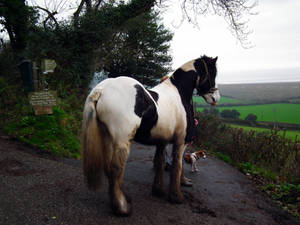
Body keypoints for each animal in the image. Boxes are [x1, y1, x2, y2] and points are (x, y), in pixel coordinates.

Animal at [82, 55, 220, 216]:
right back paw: (122, 208)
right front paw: (176, 197)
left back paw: (123, 199)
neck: (179, 94)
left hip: (107, 137)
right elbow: (177, 166)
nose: (216, 98)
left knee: (109, 169)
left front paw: (159, 191)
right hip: (121, 141)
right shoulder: (180, 142)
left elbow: (160, 163)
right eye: (212, 72)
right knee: (115, 169)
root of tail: (101, 90)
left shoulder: (162, 141)